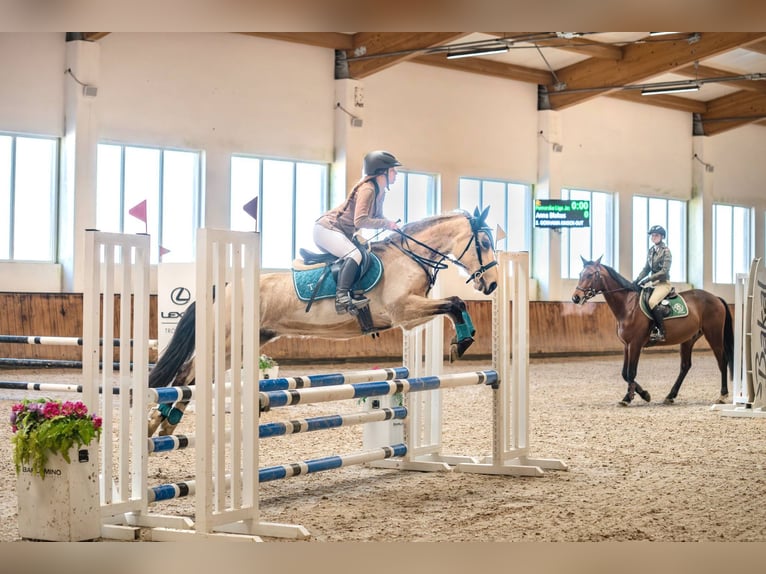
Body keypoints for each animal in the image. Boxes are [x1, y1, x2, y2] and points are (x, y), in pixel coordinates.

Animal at [147, 207, 500, 436]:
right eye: (483, 244)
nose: (493, 285)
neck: (408, 255)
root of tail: (224, 287)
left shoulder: (411, 312)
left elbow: (455, 304)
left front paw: (463, 340)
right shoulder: (404, 311)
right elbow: (454, 302)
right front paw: (461, 342)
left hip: (243, 344)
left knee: (194, 377)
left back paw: (166, 422)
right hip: (227, 341)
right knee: (187, 373)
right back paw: (158, 421)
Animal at [571, 256, 734, 407]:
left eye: (590, 275)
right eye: (580, 274)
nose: (576, 298)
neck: (628, 305)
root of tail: (715, 298)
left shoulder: (635, 344)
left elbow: (631, 372)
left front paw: (629, 398)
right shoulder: (626, 345)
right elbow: (624, 373)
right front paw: (643, 394)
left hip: (713, 335)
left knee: (722, 360)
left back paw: (722, 395)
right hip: (688, 339)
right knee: (685, 366)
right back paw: (670, 396)